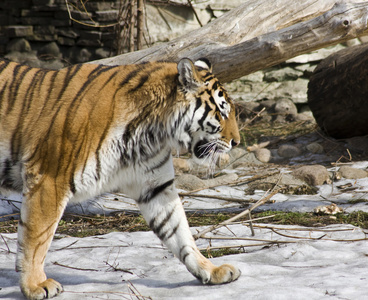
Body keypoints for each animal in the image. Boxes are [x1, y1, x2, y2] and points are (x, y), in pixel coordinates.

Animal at [0, 56, 242, 300]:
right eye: (222, 112)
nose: (237, 142)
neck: (152, 133)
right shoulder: (49, 179)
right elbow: (37, 238)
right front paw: (35, 285)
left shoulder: (156, 187)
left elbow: (180, 232)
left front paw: (211, 270)